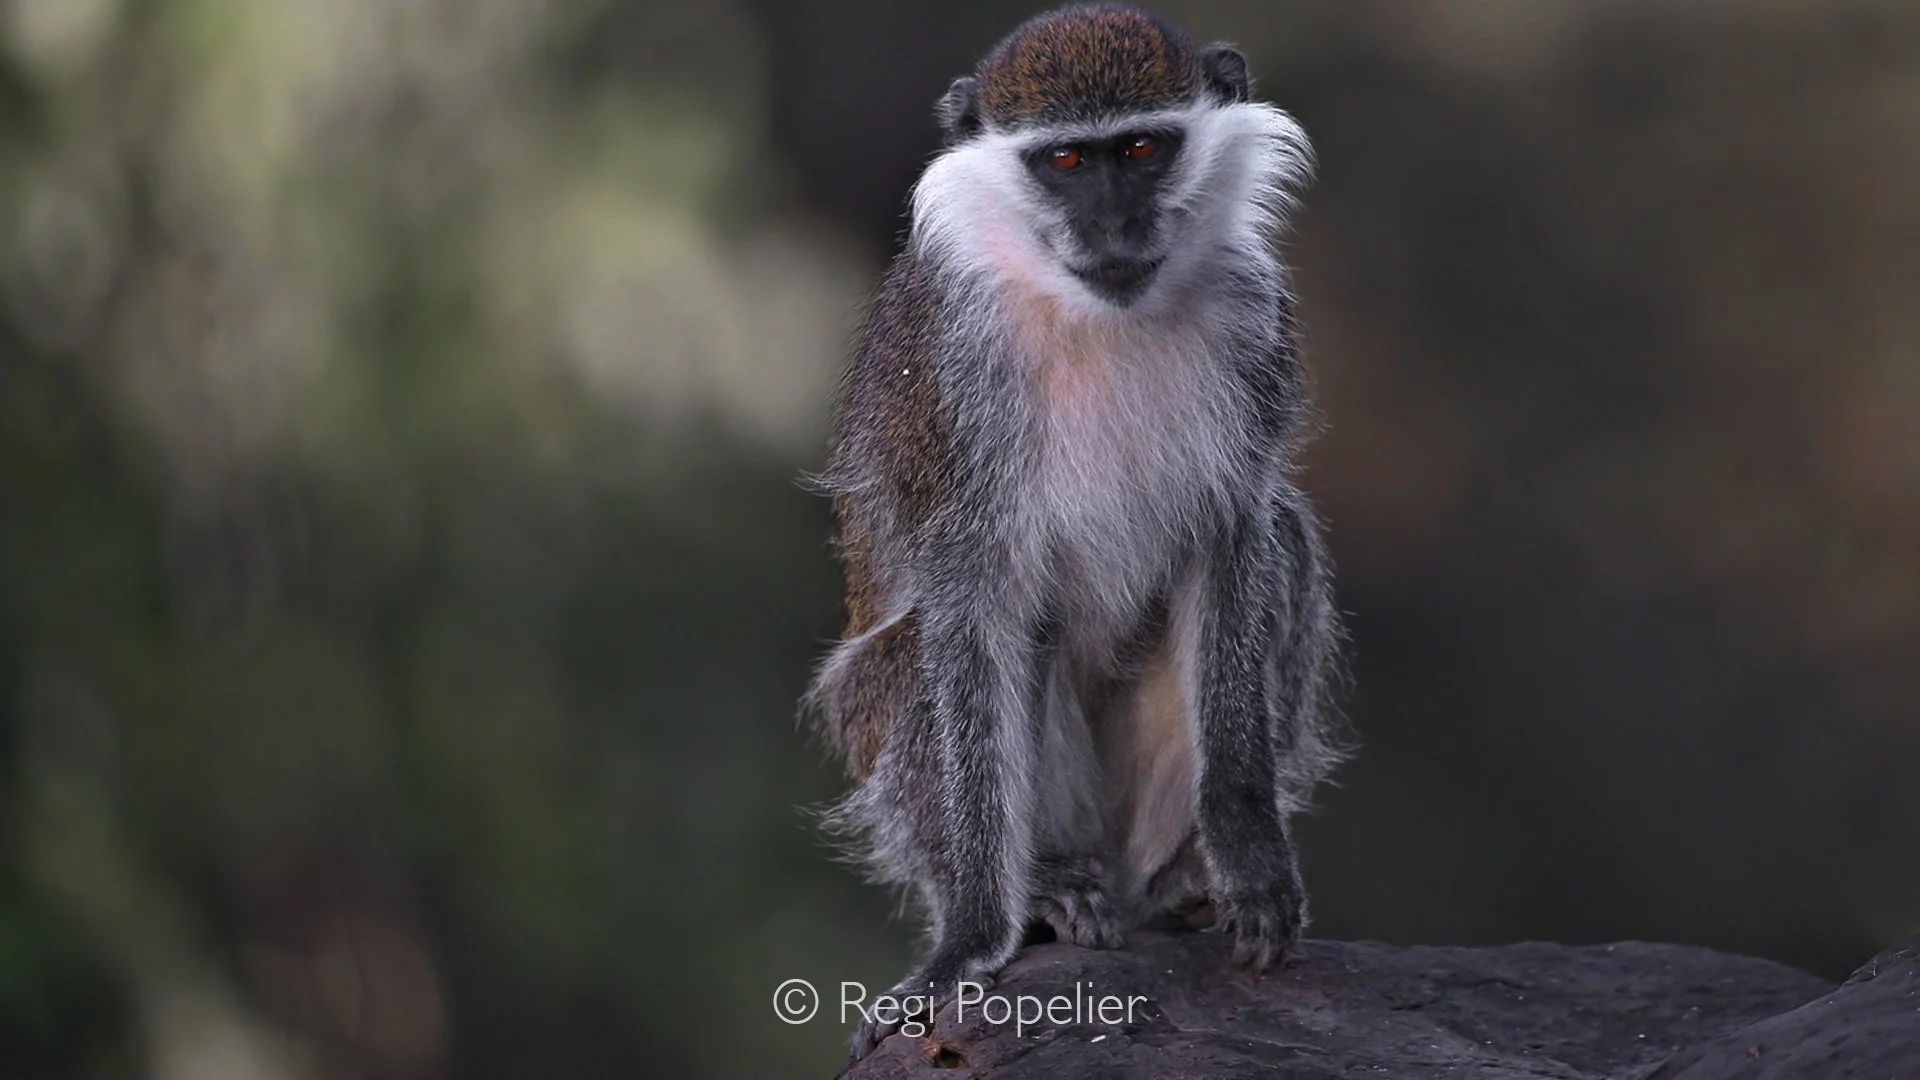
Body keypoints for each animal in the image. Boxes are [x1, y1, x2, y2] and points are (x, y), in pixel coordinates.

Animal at [802, 3, 1345, 1059]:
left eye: (1139, 149)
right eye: (1063, 162)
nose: (1113, 225)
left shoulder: (1257, 325)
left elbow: (1236, 531)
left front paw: (1248, 853)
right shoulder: (948, 372)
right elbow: (968, 605)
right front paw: (973, 938)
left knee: (1288, 539)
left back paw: (1182, 886)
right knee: (932, 653)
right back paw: (1047, 889)